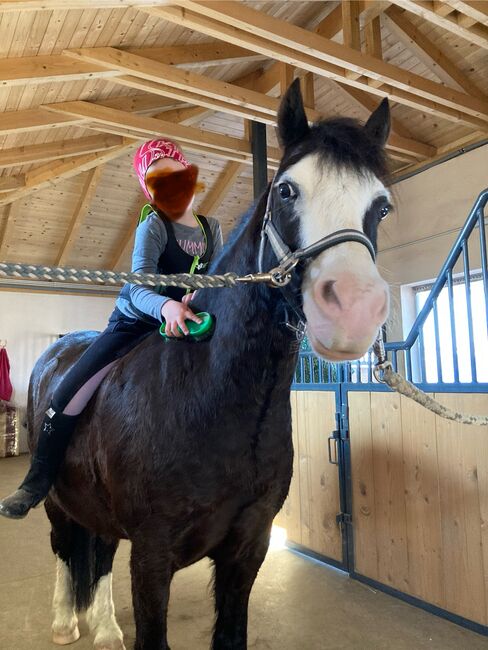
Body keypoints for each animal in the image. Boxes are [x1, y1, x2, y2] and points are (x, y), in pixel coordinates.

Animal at [27, 82, 392, 648]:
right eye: (286, 191)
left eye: (382, 206)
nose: (353, 308)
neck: (211, 400)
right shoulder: (152, 558)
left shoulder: (248, 549)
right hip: (57, 498)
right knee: (65, 545)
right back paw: (66, 620)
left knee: (100, 550)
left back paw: (105, 628)